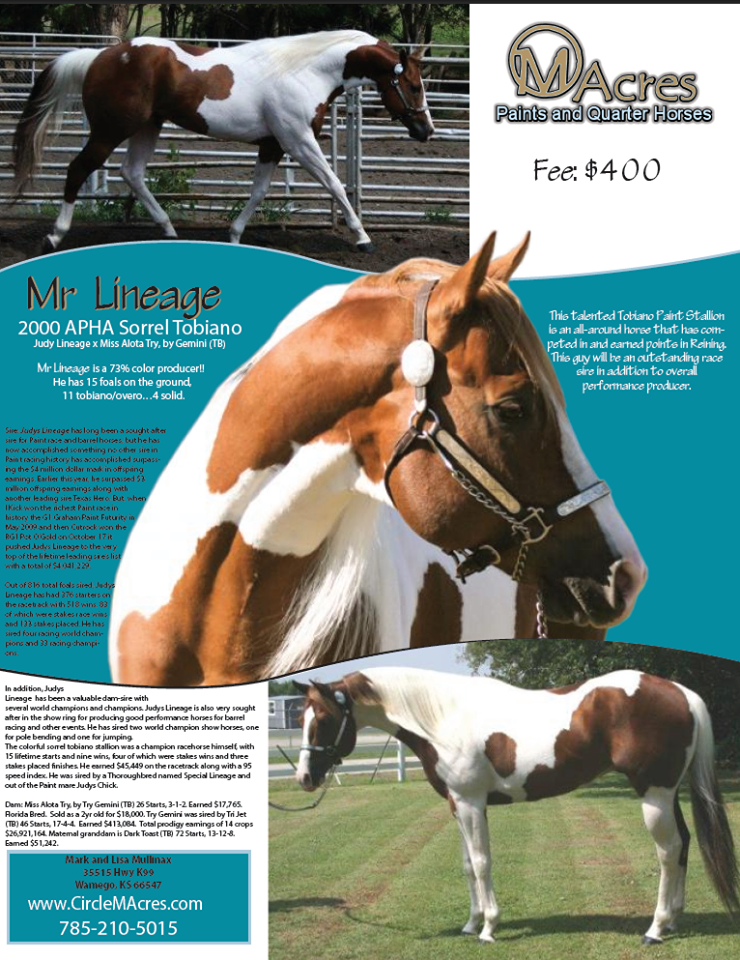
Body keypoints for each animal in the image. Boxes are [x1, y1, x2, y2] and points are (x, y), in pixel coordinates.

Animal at [12, 30, 433, 253]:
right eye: (413, 86)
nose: (426, 131)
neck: (305, 71)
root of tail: (101, 56)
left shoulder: (272, 144)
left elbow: (259, 191)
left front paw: (234, 234)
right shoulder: (298, 141)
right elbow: (334, 184)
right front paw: (363, 237)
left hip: (147, 127)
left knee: (131, 173)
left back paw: (168, 230)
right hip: (111, 130)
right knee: (78, 169)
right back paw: (55, 235)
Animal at [294, 667, 739, 944]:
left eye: (324, 719)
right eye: (301, 719)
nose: (304, 778)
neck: (443, 718)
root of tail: (681, 693)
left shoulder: (472, 803)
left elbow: (482, 863)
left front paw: (489, 928)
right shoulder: (457, 805)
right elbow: (466, 866)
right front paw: (470, 924)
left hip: (654, 794)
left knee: (668, 852)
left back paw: (656, 928)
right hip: (667, 793)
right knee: (683, 845)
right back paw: (675, 919)